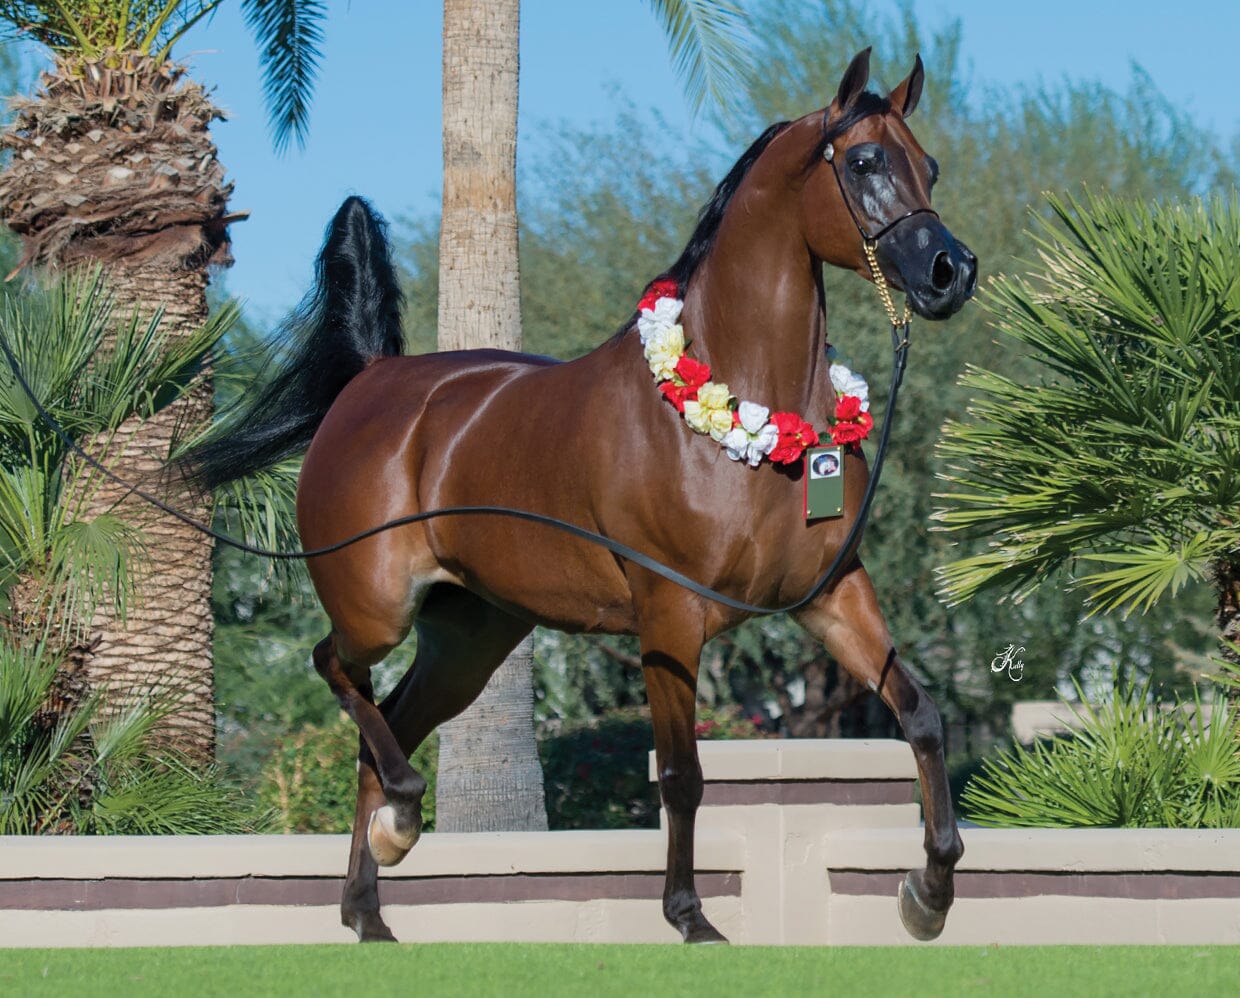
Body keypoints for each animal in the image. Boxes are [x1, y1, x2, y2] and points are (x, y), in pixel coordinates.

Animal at [188, 48, 976, 945]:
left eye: (929, 166)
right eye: (866, 161)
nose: (951, 273)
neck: (741, 413)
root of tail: (372, 382)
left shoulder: (832, 596)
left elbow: (921, 715)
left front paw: (929, 893)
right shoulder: (670, 616)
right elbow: (682, 774)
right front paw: (691, 919)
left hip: (469, 639)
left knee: (384, 727)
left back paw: (370, 906)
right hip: (375, 606)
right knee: (337, 673)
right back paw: (402, 818)